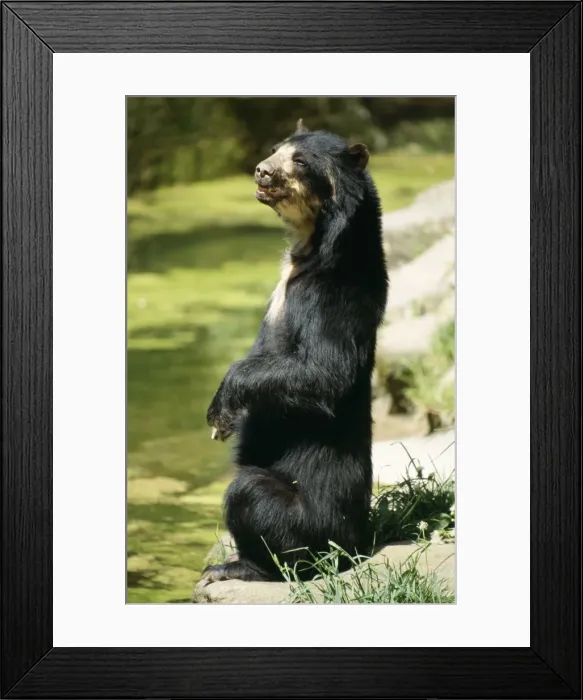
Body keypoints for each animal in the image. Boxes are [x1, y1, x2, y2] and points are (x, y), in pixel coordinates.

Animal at [199, 119, 388, 585]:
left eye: (300, 162)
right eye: (275, 149)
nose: (261, 171)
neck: (310, 249)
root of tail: (358, 543)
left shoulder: (333, 296)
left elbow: (324, 371)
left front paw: (219, 415)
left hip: (309, 523)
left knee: (250, 496)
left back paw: (237, 566)